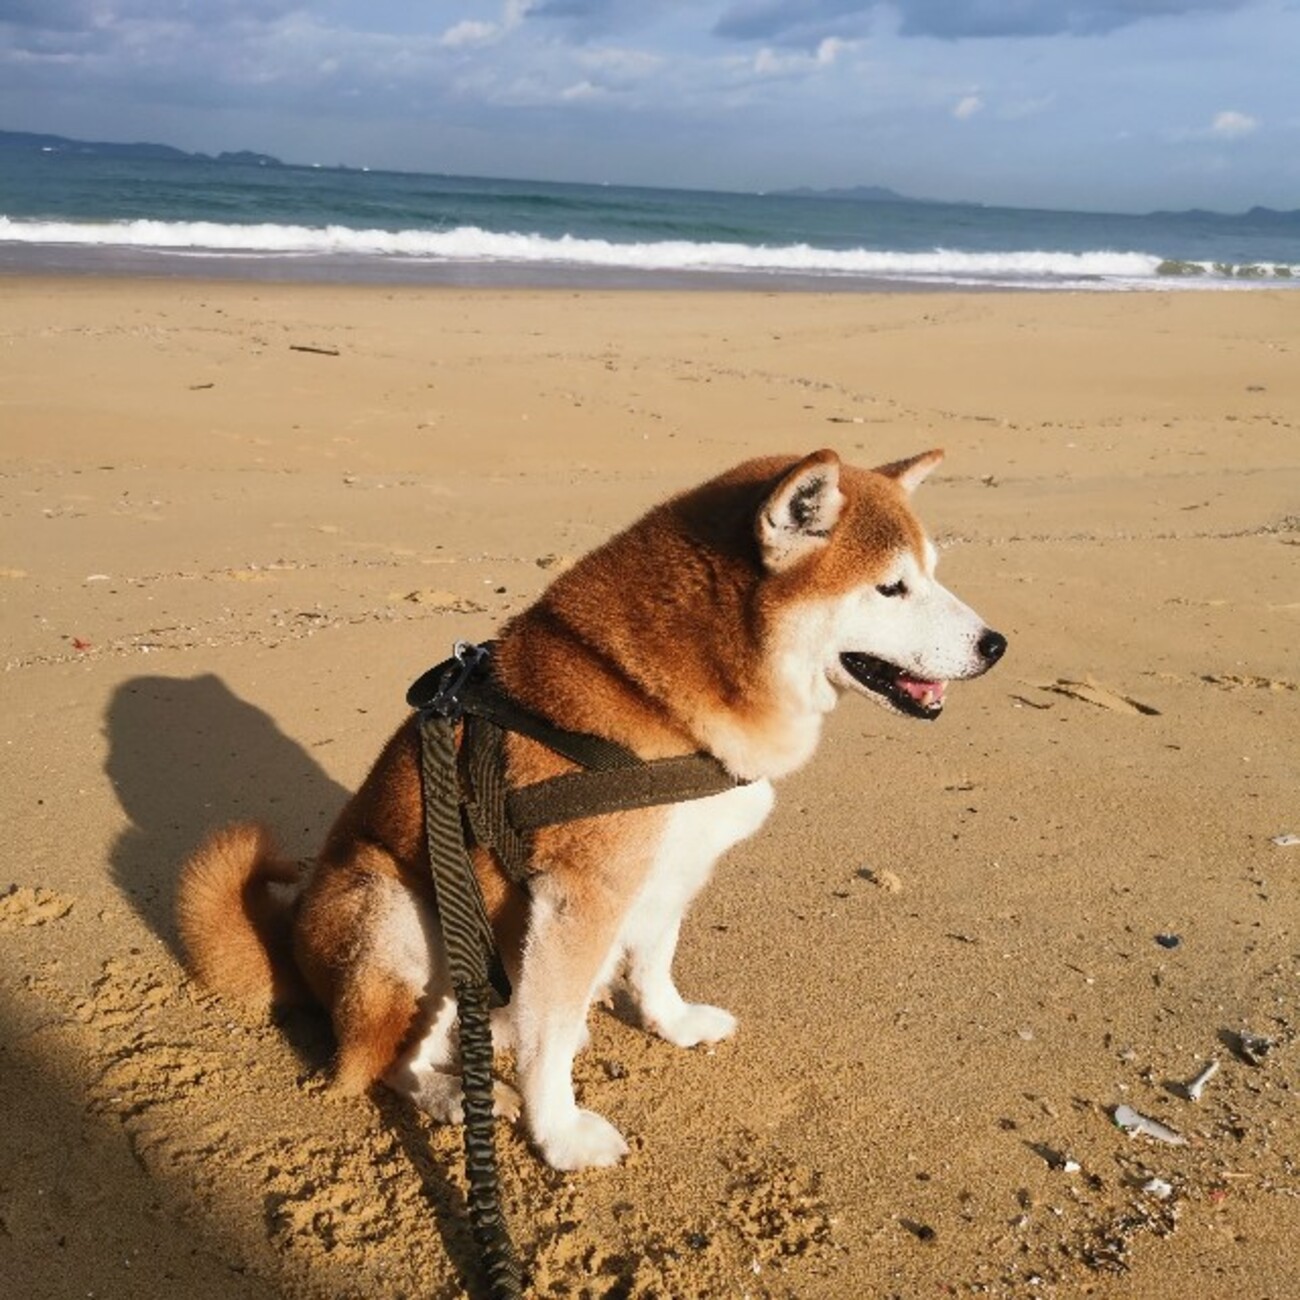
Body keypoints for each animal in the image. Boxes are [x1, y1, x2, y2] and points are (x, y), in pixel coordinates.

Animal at [178, 448, 1005, 1172]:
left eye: (932, 573)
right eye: (890, 588)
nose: (995, 644)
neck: (665, 700)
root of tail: (291, 948)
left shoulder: (671, 869)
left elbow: (656, 961)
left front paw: (673, 1022)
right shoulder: (582, 895)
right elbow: (547, 1042)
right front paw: (561, 1136)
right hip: (408, 912)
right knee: (382, 1060)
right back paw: (456, 1096)